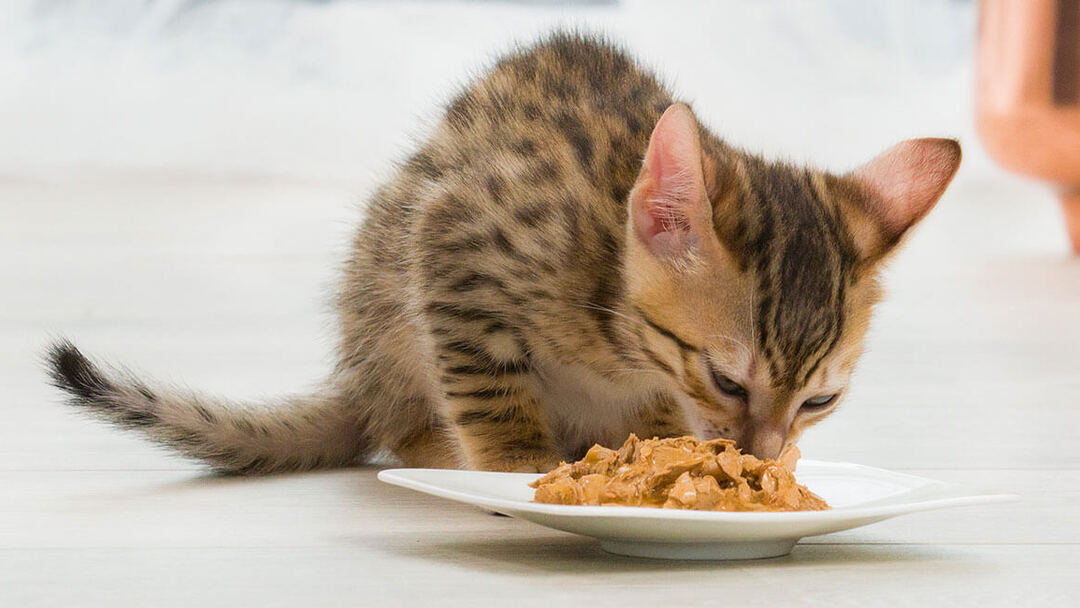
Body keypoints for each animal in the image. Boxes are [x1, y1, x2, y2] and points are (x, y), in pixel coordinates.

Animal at [48, 33, 963, 475]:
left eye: (820, 402)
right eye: (728, 380)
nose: (760, 455)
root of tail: (356, 380)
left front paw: (666, 448)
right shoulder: (454, 241)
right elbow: (485, 374)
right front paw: (516, 459)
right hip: (387, 292)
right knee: (402, 418)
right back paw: (435, 446)